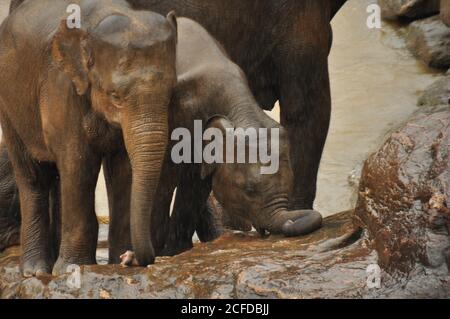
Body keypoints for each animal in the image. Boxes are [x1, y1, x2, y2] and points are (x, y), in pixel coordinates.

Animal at [0, 0, 178, 278]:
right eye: (115, 95)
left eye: (171, 93)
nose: (133, 258)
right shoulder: (63, 88)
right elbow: (78, 164)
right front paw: (72, 269)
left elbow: (124, 168)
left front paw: (118, 261)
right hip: (11, 106)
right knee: (33, 176)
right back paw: (36, 271)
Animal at [107, 18, 322, 262]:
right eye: (248, 190)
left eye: (291, 182)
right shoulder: (176, 115)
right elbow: (165, 177)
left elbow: (196, 185)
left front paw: (175, 251)